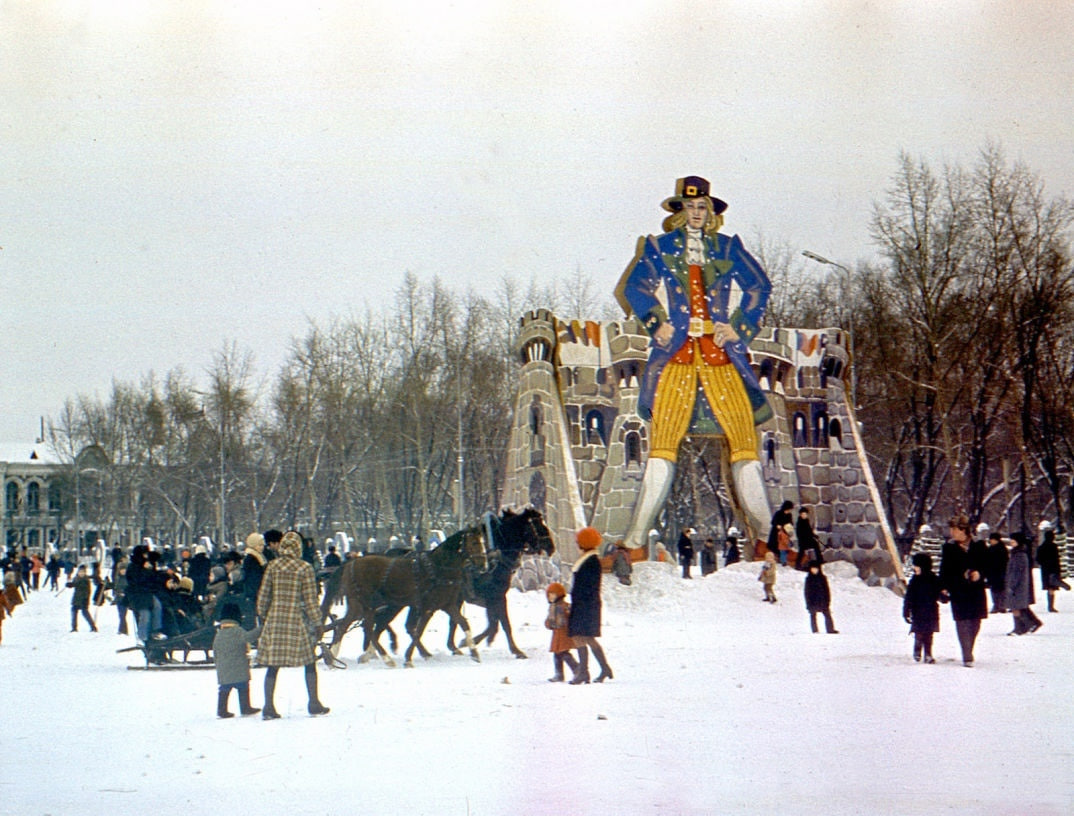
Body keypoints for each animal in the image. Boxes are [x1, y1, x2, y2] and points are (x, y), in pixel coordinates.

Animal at [444, 506, 554, 661]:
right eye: (538, 525)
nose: (551, 547)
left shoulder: (494, 598)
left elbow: (494, 623)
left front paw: (473, 641)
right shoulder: (496, 596)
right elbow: (502, 623)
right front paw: (516, 650)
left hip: (458, 598)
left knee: (453, 620)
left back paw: (453, 646)